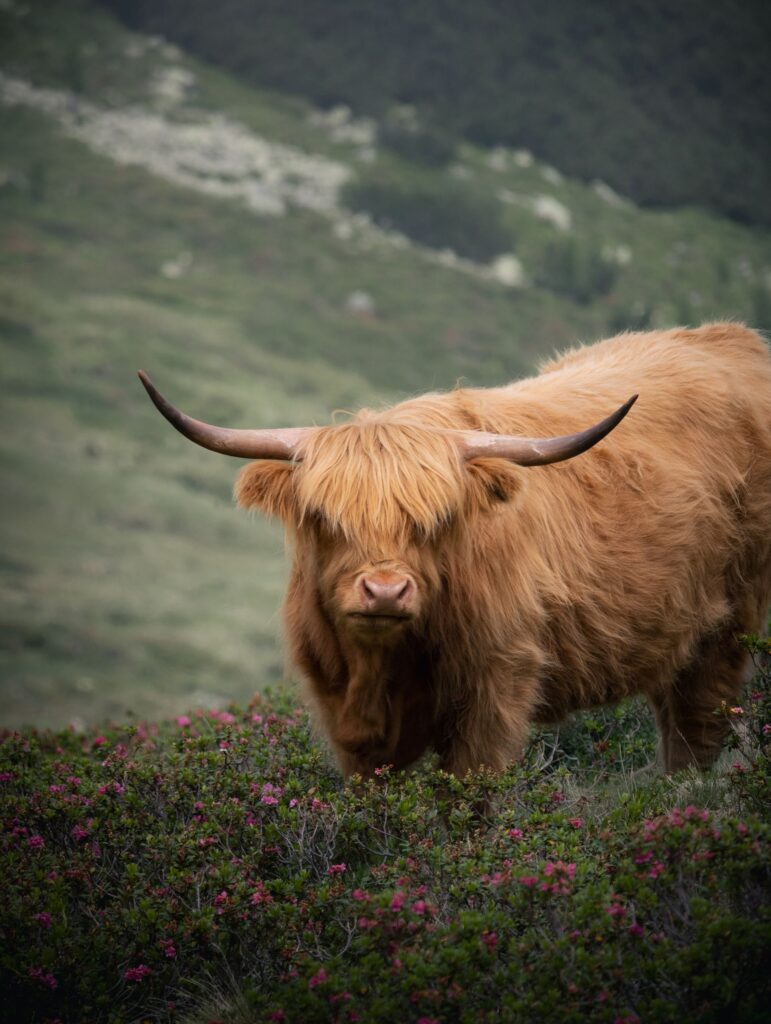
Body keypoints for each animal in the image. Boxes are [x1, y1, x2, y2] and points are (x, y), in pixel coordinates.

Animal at [139, 323, 771, 778]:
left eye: (437, 520)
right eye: (324, 518)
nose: (385, 591)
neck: (383, 666)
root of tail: (730, 337)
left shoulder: (497, 690)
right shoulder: (342, 712)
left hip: (729, 625)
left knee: (697, 732)